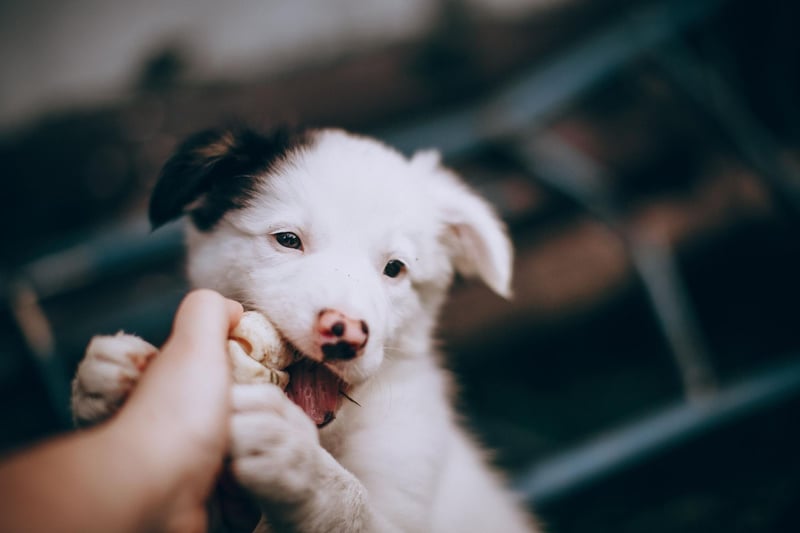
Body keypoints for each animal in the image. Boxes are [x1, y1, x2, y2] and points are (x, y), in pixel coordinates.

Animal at [72, 127, 540, 528]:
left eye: (395, 268)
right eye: (287, 239)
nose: (345, 333)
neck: (332, 435)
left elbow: (357, 506)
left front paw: (299, 463)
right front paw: (106, 380)